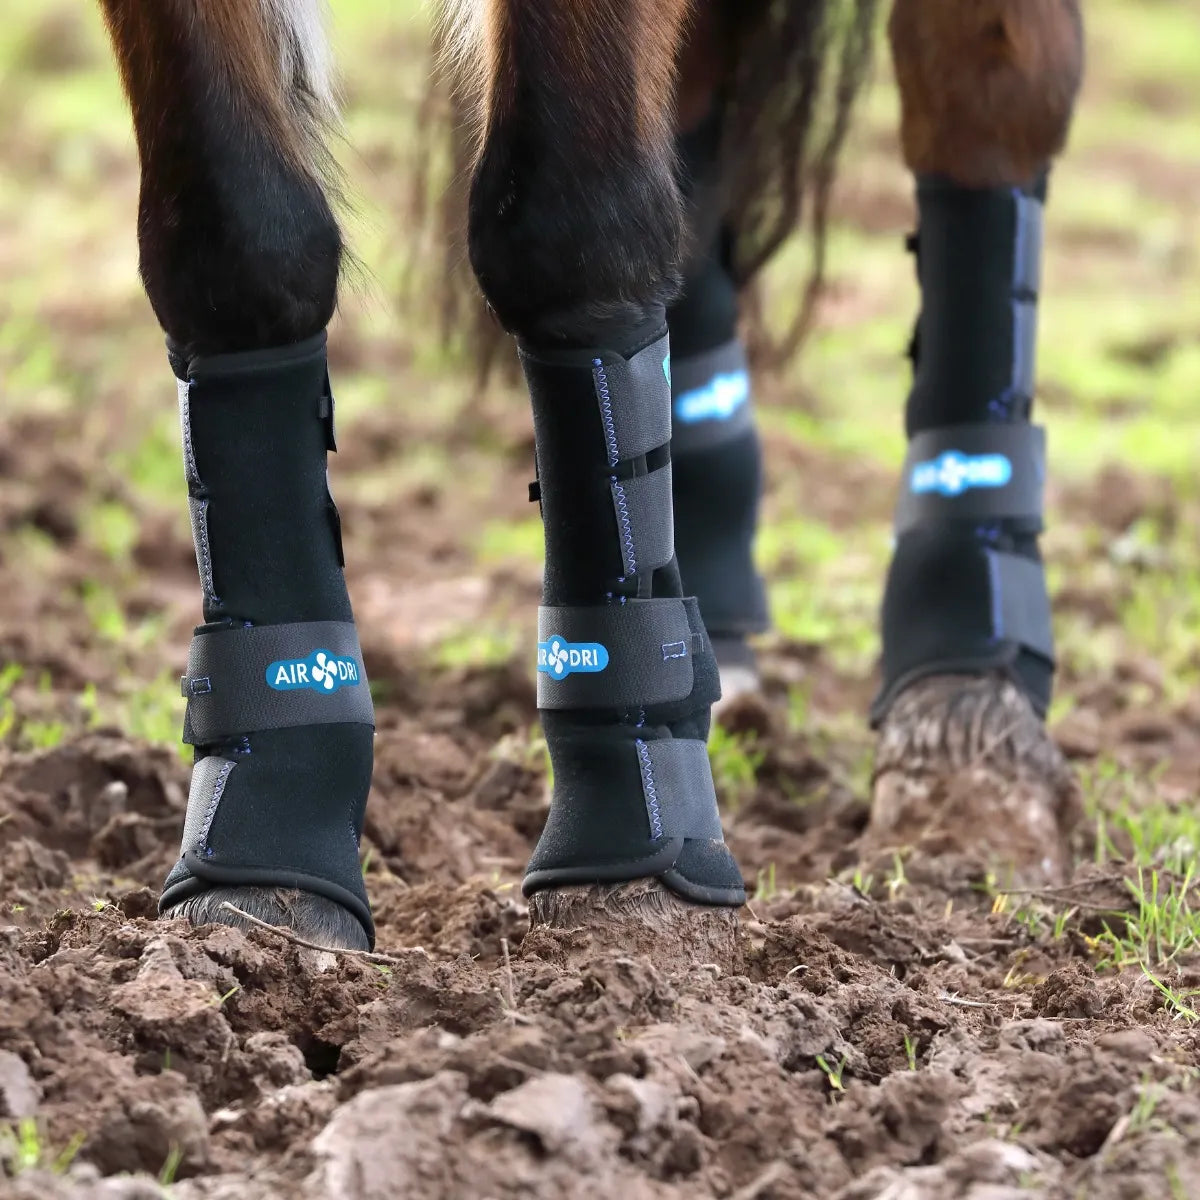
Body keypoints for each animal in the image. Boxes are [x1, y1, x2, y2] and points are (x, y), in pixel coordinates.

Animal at [94, 0, 1085, 953]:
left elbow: (568, 227)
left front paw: (633, 856)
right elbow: (234, 239)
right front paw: (268, 850)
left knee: (991, 93)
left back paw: (967, 697)